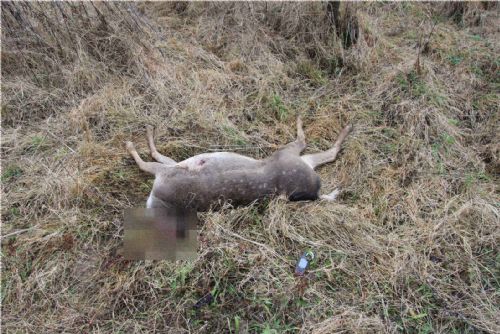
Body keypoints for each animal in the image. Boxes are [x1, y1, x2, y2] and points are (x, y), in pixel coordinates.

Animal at [125, 118, 352, 211]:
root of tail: (316, 190)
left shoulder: (169, 172)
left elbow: (150, 158)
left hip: (285, 155)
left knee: (306, 141)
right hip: (294, 159)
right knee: (326, 152)